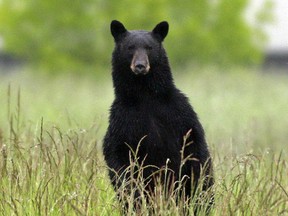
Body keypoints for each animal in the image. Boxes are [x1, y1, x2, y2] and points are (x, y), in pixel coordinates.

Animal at [102, 20, 213, 213]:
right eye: (130, 47)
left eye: (149, 48)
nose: (140, 65)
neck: (145, 95)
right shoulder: (122, 119)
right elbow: (117, 154)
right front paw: (132, 192)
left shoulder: (179, 113)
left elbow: (196, 146)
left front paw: (199, 187)